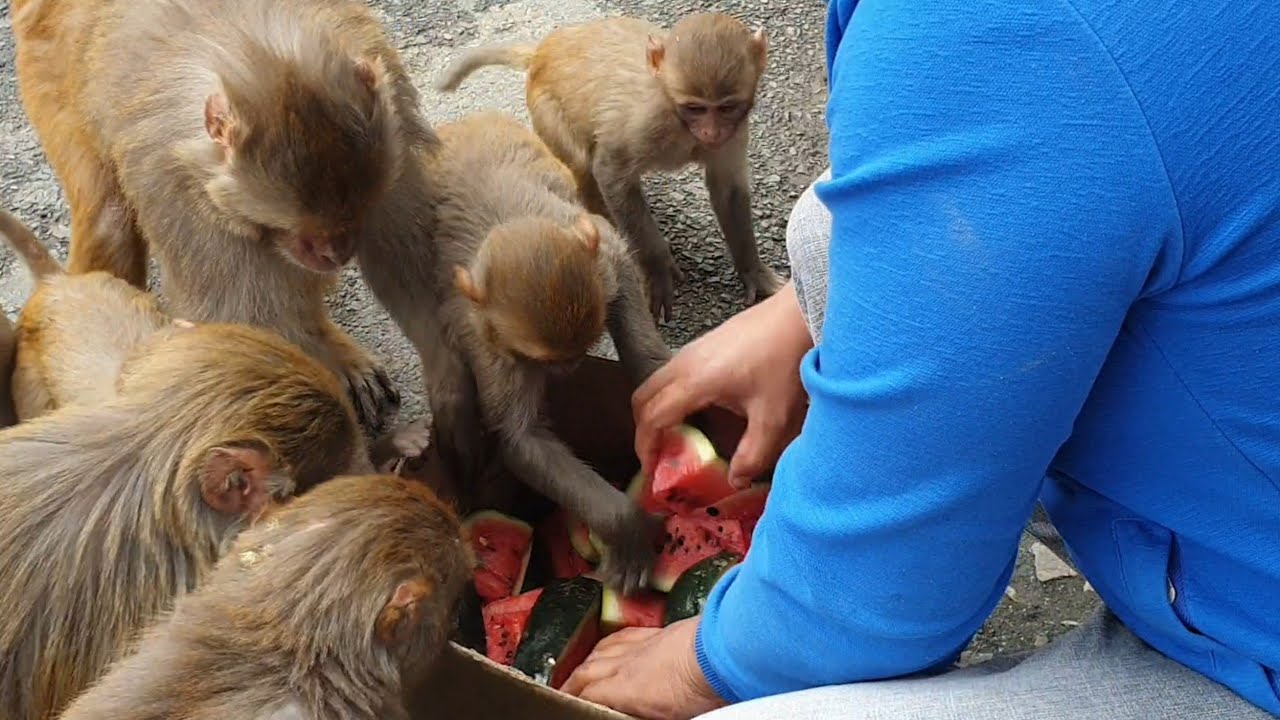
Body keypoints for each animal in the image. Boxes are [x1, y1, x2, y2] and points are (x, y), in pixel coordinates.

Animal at [10, 0, 442, 435]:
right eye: (307, 236)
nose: (338, 254)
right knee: (109, 221)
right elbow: (248, 318)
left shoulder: (395, 129)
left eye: (354, 217)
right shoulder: (184, 199)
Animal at [357, 111, 672, 593]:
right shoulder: (490, 344)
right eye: (545, 360)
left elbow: (634, 329)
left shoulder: (607, 264)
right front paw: (626, 527)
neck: (512, 219)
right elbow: (523, 440)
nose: (571, 367)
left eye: (581, 350)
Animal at [434, 12, 784, 322]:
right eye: (695, 108)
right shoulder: (644, 121)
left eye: (726, 107)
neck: (679, 121)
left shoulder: (735, 132)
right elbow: (610, 172)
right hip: (546, 110)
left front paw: (753, 271)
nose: (712, 133)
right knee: (583, 164)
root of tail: (543, 52)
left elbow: (728, 192)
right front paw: (657, 270)